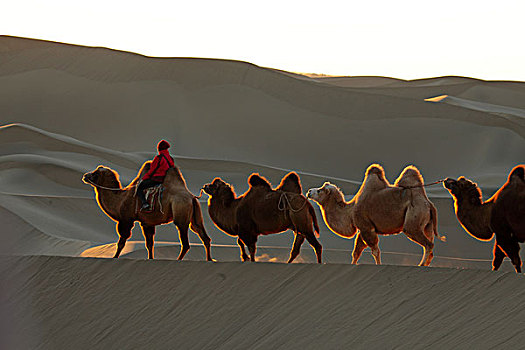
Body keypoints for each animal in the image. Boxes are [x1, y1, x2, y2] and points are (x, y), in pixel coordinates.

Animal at [83, 161, 212, 260]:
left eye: (95, 173)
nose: (85, 176)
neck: (120, 199)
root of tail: (192, 197)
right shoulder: (146, 222)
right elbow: (149, 244)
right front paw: (150, 259)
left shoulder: (126, 220)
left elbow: (121, 242)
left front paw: (114, 257)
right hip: (195, 217)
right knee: (203, 235)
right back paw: (209, 259)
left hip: (181, 215)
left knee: (185, 243)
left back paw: (179, 259)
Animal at [304, 164, 444, 266]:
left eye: (320, 190)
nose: (309, 192)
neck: (350, 212)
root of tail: (428, 203)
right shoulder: (362, 229)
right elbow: (356, 252)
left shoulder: (366, 227)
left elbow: (375, 250)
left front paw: (378, 265)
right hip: (427, 224)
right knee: (430, 244)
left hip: (413, 220)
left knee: (427, 243)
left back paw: (421, 265)